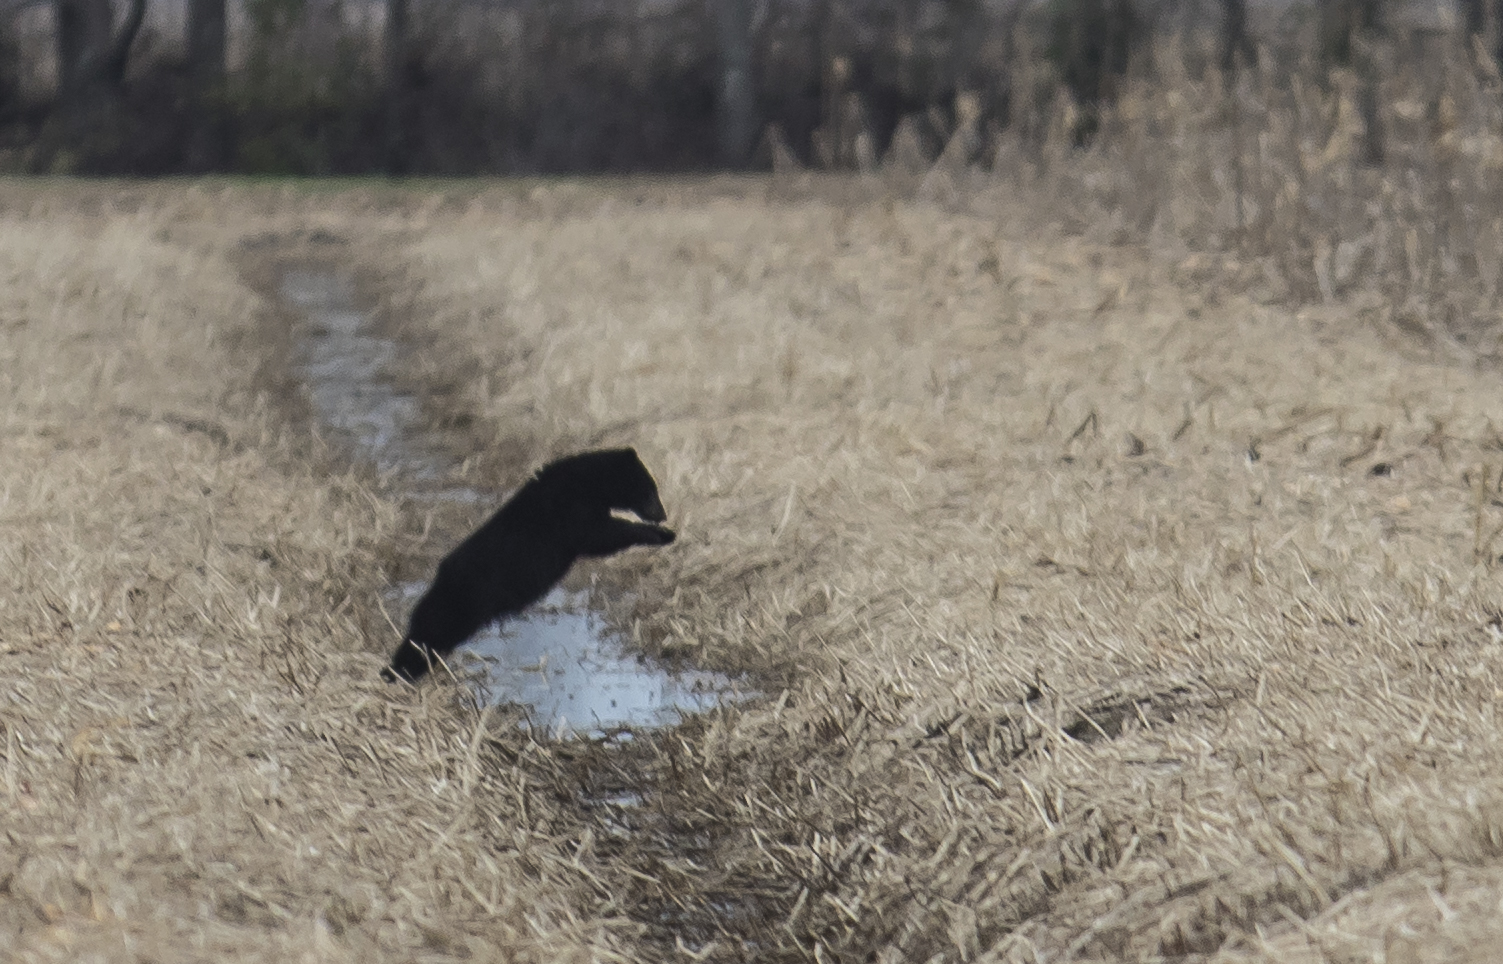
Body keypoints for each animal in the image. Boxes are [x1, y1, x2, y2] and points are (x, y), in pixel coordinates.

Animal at [384, 447, 676, 682]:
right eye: (650, 488)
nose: (662, 514)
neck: (586, 483)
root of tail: (438, 580)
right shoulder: (570, 510)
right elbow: (600, 536)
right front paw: (662, 535)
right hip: (459, 606)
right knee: (427, 636)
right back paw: (397, 673)